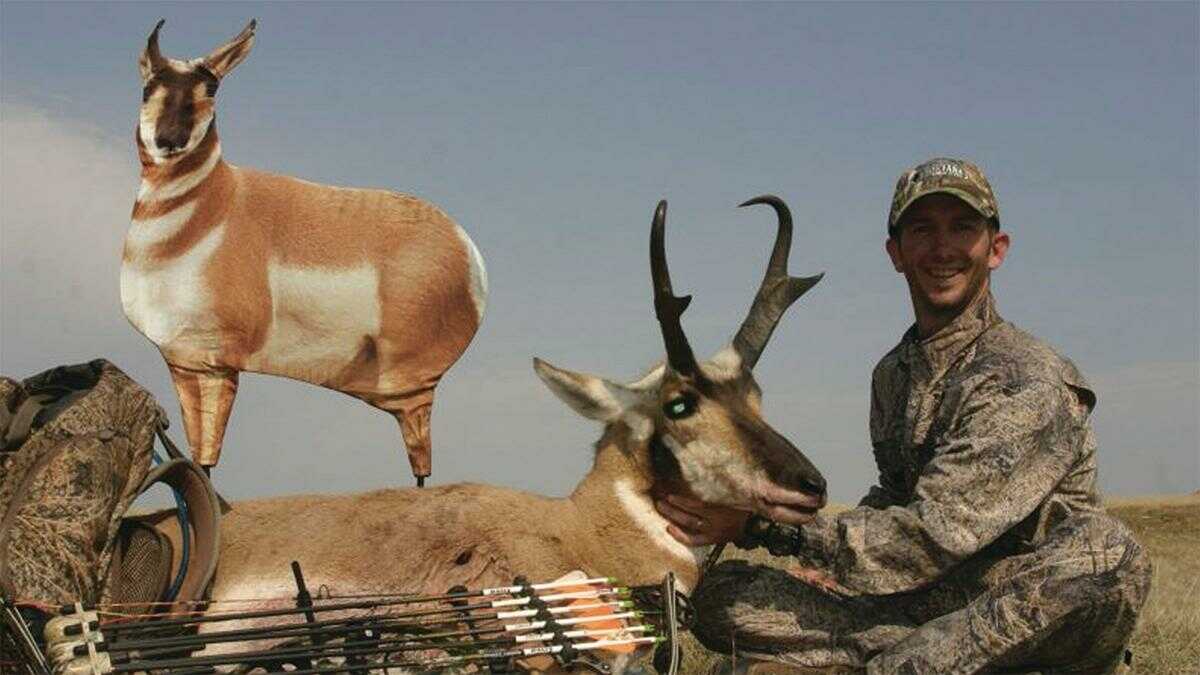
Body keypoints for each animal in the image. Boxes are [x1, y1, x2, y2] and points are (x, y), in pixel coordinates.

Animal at [117, 21, 482, 482]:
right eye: (148, 87)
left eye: (211, 89)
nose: (170, 140)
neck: (213, 207)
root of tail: (465, 244)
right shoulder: (187, 362)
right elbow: (201, 456)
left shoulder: (216, 364)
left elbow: (207, 456)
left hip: (409, 382)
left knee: (420, 460)